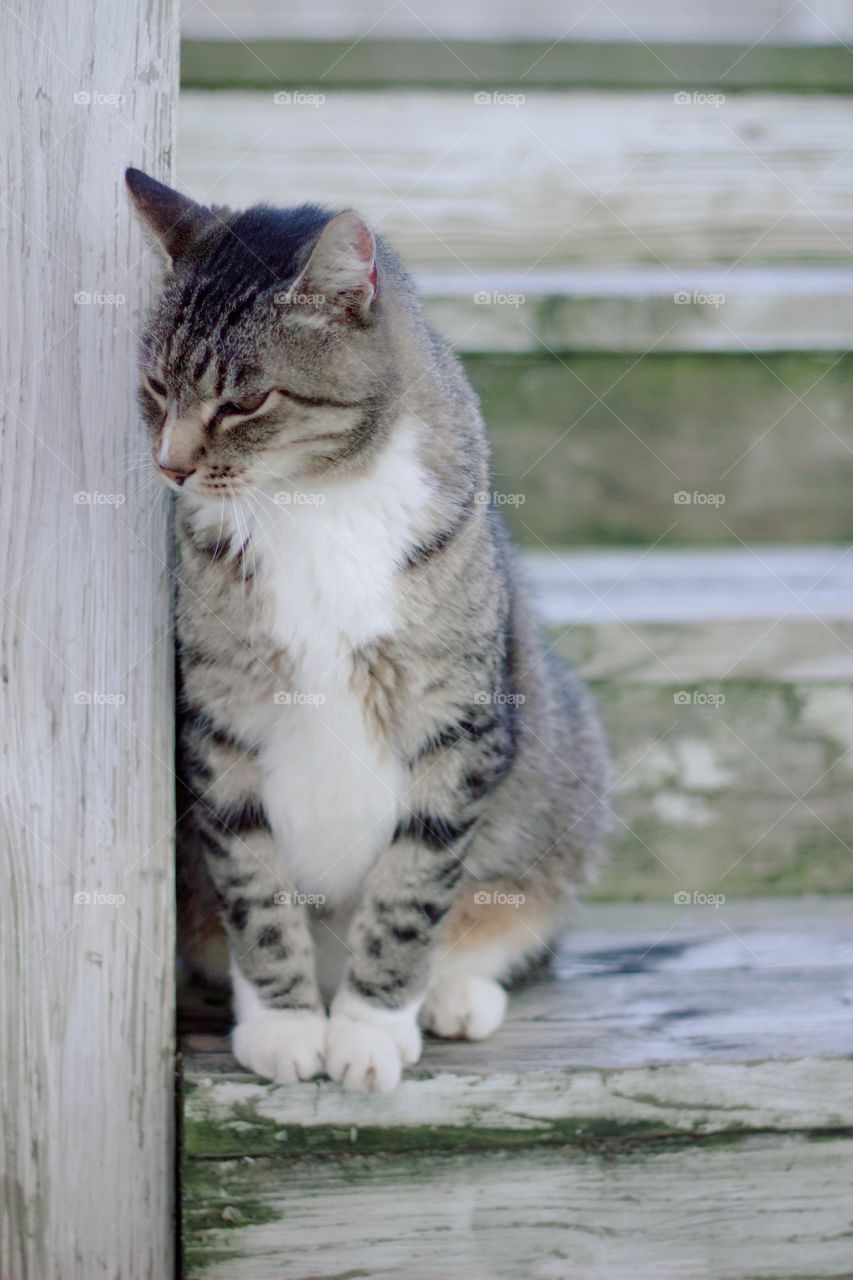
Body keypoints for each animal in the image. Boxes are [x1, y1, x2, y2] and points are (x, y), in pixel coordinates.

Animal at [126, 167, 607, 1090]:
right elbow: (252, 882)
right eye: (156, 389)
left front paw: (368, 1027)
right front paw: (284, 1023)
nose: (171, 467)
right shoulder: (217, 721)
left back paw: (457, 992)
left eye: (244, 401)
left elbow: (410, 890)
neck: (311, 499)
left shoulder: (458, 726)